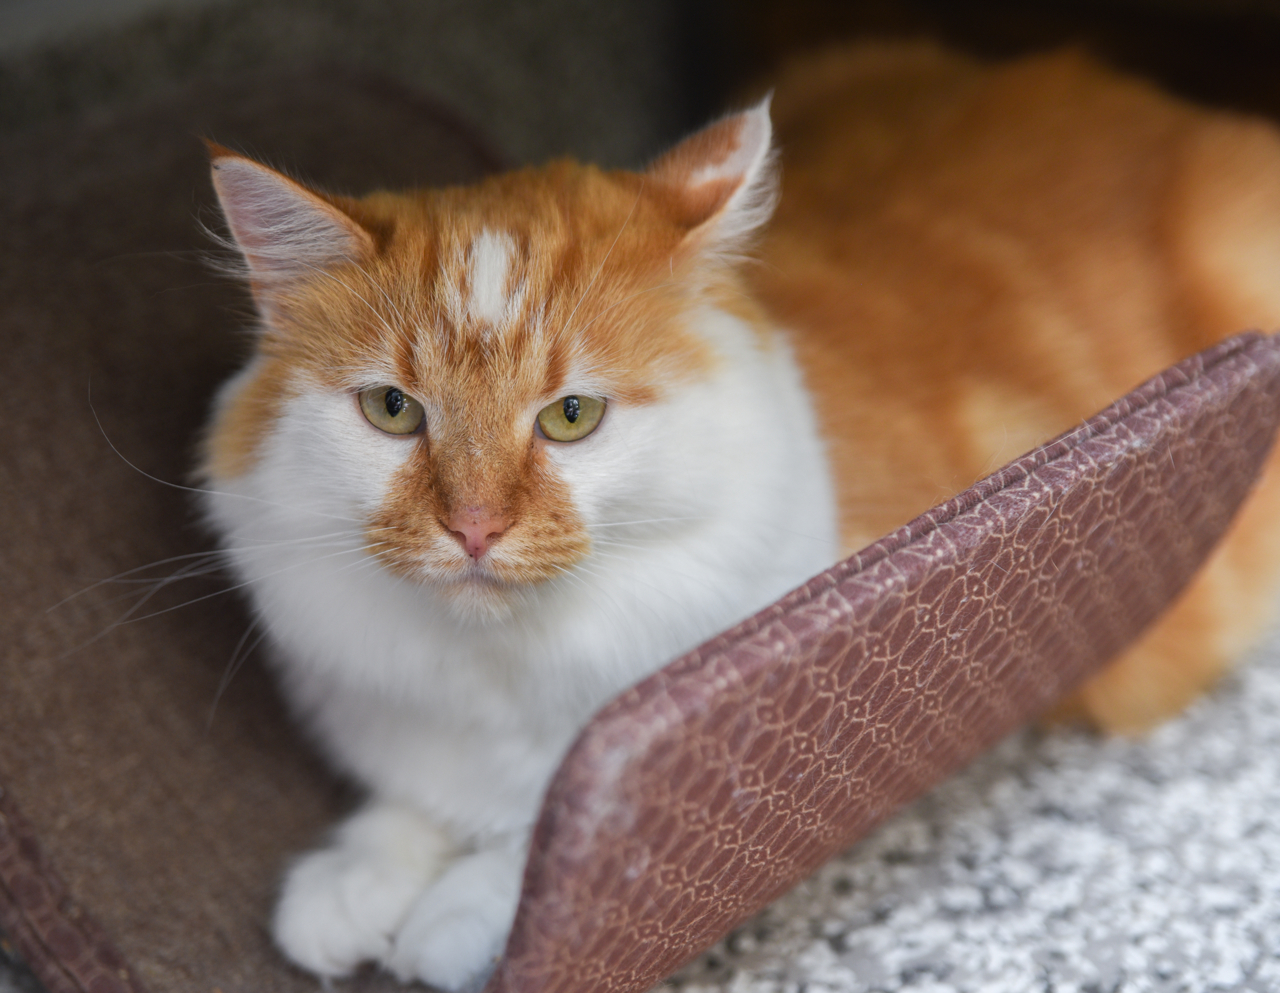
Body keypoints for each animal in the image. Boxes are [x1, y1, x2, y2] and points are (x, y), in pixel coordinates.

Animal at [202, 40, 1280, 992]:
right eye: (393, 410)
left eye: (570, 416)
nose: (472, 527)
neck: (507, 668)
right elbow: (409, 804)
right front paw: (352, 882)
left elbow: (551, 837)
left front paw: (454, 913)